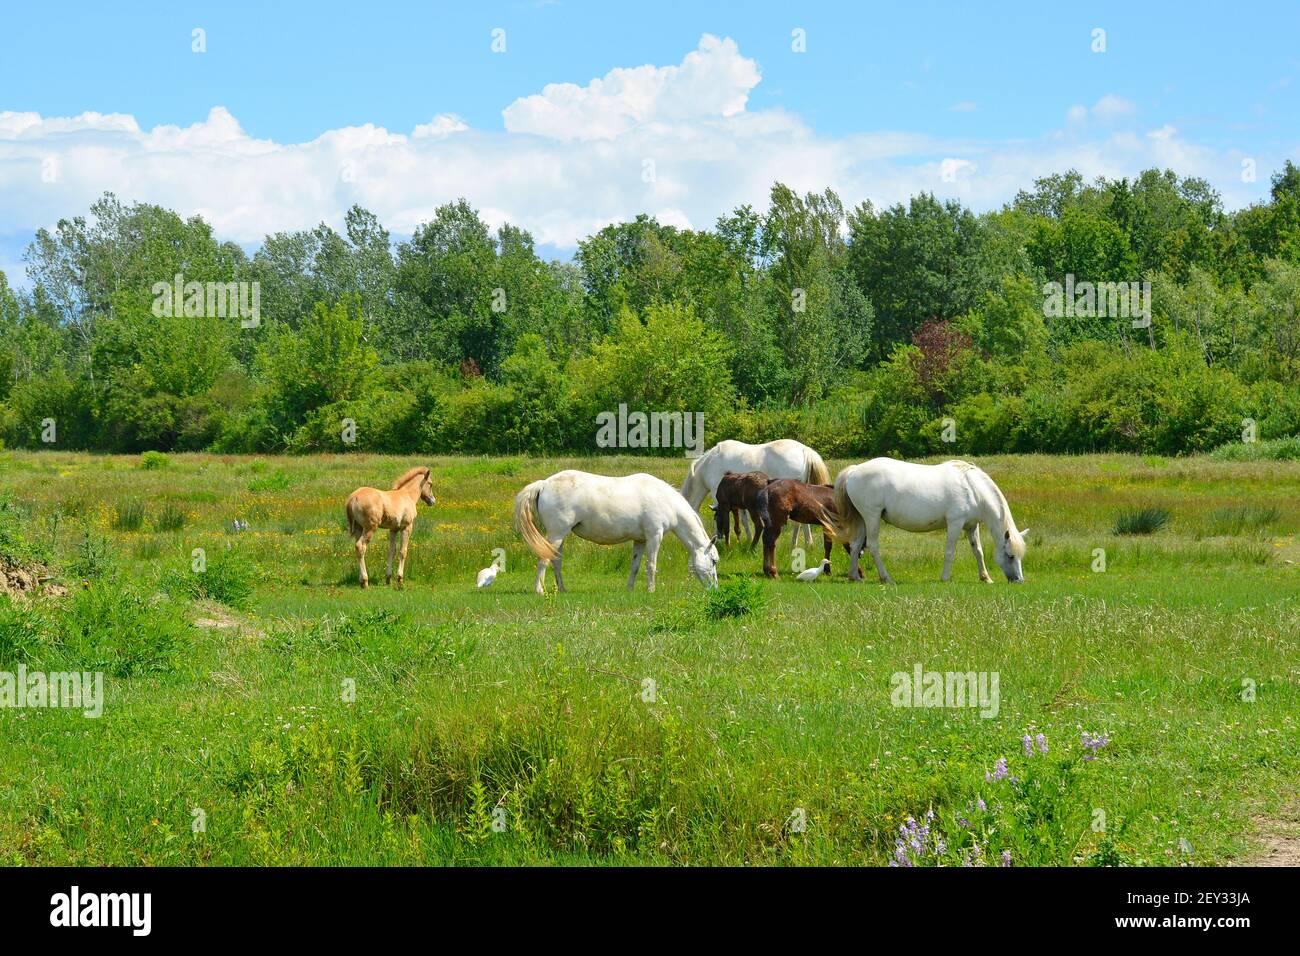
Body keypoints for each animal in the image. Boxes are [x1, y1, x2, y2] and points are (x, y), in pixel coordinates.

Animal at [514, 468, 722, 595]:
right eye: (713, 561)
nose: (714, 589)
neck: (665, 500)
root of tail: (544, 484)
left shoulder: (640, 540)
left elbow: (635, 566)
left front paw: (629, 589)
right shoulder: (654, 536)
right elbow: (651, 565)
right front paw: (651, 590)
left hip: (560, 536)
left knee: (556, 561)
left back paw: (563, 589)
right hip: (556, 534)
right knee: (544, 560)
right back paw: (539, 590)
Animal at [681, 439, 832, 546]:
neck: (709, 464)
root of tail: (804, 449)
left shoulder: (718, 497)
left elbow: (721, 517)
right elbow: (743, 519)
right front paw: (747, 539)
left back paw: (802, 544)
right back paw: (800, 544)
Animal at [826, 457, 1029, 582]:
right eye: (1010, 555)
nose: (1019, 580)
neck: (972, 488)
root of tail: (854, 471)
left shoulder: (972, 527)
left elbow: (978, 551)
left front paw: (985, 577)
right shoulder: (955, 524)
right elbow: (950, 552)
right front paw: (945, 578)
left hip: (862, 519)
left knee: (855, 545)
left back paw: (854, 576)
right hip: (872, 517)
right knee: (873, 546)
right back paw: (886, 578)